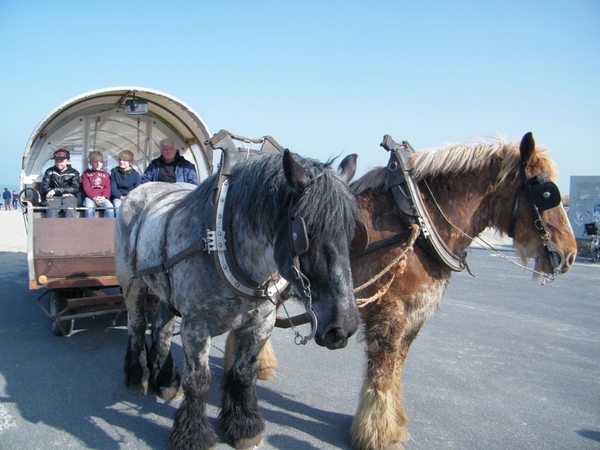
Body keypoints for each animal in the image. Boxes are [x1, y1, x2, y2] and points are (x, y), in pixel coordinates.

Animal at [113, 149, 360, 448]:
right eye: (304, 233)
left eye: (351, 233)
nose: (343, 327)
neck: (220, 240)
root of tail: (144, 188)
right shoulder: (195, 327)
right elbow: (199, 381)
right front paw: (194, 435)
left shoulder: (260, 324)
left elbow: (243, 375)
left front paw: (244, 427)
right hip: (132, 282)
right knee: (137, 324)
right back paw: (138, 377)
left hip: (166, 289)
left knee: (161, 326)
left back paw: (166, 380)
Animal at [230, 132, 576, 448]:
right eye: (547, 192)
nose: (569, 254)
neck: (420, 223)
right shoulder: (390, 312)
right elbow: (382, 372)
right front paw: (378, 433)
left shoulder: (415, 313)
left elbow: (397, 369)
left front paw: (392, 422)